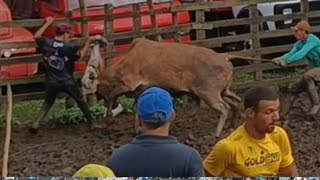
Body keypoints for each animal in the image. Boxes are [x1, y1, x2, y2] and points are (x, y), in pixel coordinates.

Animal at [96, 37, 241, 136]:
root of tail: (225, 57)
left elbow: (114, 94)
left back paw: (216, 133)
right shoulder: (140, 92)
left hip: (208, 92)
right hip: (223, 91)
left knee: (224, 107)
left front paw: (109, 114)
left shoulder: (130, 84)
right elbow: (137, 109)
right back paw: (231, 125)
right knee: (235, 101)